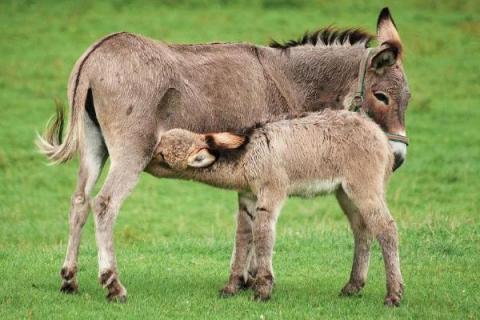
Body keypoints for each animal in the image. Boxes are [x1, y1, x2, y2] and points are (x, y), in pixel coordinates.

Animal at [148, 109, 404, 306]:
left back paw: (394, 294)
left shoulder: (271, 193)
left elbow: (262, 235)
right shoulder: (248, 198)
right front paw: (232, 287)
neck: (249, 154)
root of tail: (380, 135)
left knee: (386, 229)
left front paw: (263, 290)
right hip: (345, 193)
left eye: (161, 155)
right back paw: (353, 286)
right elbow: (243, 237)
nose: (144, 158)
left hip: (364, 187)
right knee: (362, 230)